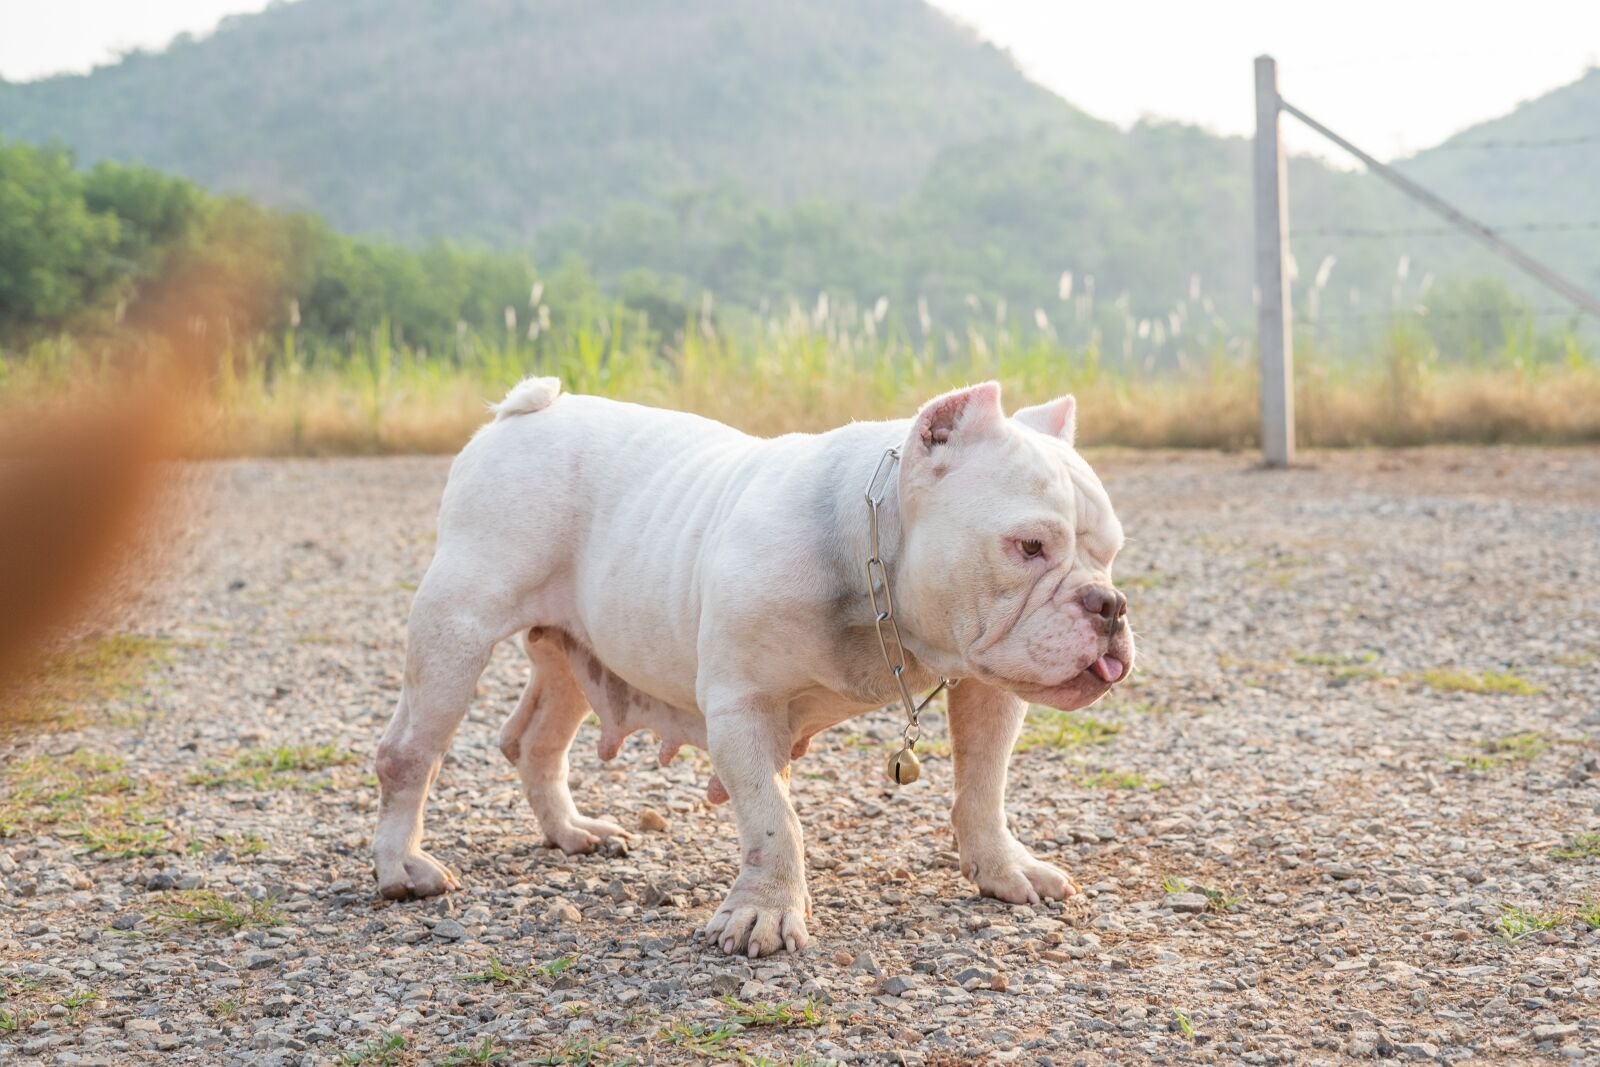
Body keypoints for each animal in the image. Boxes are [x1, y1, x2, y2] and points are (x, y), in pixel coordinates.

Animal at [371, 382, 1139, 959]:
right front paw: (764, 915)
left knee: (537, 740)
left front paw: (1005, 870)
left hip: (569, 651)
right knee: (411, 752)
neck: (873, 564)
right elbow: (775, 821)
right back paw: (402, 868)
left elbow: (983, 788)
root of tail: (525, 411)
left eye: (1111, 552)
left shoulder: (987, 690)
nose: (1110, 604)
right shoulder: (742, 707)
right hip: (456, 629)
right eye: (1028, 546)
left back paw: (573, 831)